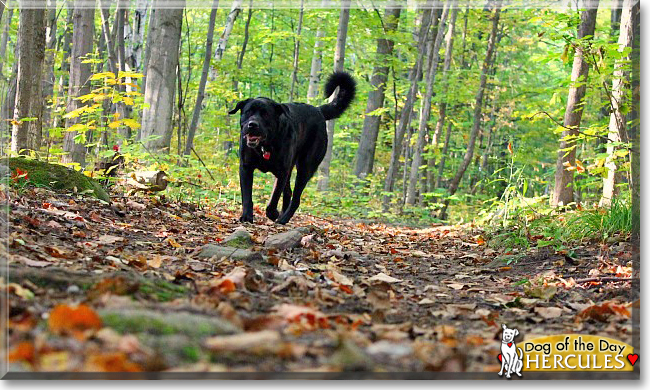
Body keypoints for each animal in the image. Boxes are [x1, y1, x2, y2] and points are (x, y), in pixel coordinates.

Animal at [229, 71, 354, 224]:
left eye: (265, 114)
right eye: (248, 112)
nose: (252, 124)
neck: (265, 146)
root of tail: (318, 110)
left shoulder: (282, 172)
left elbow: (274, 197)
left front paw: (272, 213)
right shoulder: (246, 167)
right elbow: (247, 196)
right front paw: (247, 216)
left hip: (305, 168)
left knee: (296, 198)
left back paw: (283, 218)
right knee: (288, 192)